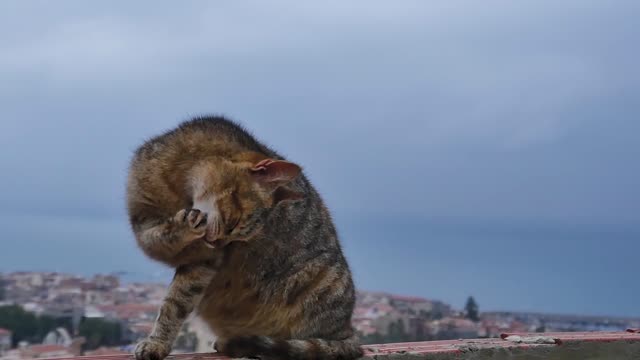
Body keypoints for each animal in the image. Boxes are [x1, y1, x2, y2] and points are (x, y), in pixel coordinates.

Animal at [126, 116, 364, 358]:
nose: (216, 243)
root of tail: (349, 332)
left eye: (237, 239)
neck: (179, 184)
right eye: (232, 222)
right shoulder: (143, 223)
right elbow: (159, 238)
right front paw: (182, 226)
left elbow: (175, 304)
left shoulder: (203, 261)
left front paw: (157, 343)